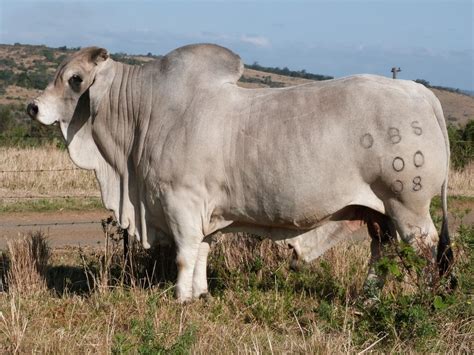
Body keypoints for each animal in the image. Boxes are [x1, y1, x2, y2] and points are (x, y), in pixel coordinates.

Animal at [26, 43, 456, 302]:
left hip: (408, 205)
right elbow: (202, 251)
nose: (33, 107)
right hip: (379, 211)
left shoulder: (180, 201)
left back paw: (419, 299)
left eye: (75, 79)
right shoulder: (204, 210)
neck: (142, 111)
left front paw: (180, 298)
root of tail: (420, 92)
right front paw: (199, 295)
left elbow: (184, 254)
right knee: (381, 250)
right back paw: (368, 299)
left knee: (423, 249)